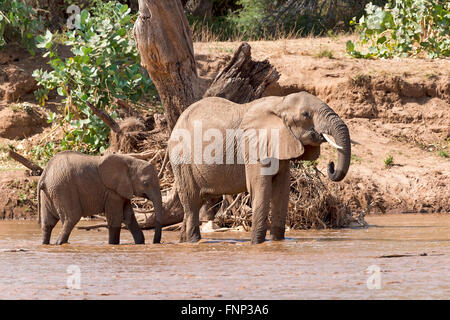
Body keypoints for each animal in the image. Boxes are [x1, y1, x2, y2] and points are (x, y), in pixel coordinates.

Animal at [169, 91, 352, 244]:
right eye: (306, 114)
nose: (331, 165)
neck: (280, 103)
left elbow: (282, 189)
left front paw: (277, 242)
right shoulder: (253, 147)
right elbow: (260, 187)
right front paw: (256, 244)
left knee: (195, 204)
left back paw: (184, 242)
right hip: (181, 159)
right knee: (191, 202)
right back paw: (194, 242)